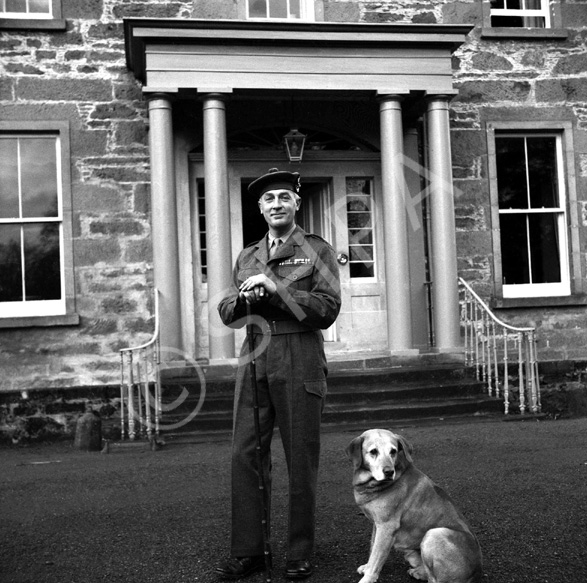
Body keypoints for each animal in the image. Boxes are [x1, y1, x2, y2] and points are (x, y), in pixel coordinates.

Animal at [346, 428, 480, 583]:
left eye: (393, 451)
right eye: (373, 451)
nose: (389, 472)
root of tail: (476, 573)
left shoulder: (386, 526)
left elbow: (376, 557)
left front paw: (368, 577)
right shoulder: (377, 524)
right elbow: (372, 547)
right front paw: (367, 567)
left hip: (434, 534)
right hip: (412, 551)